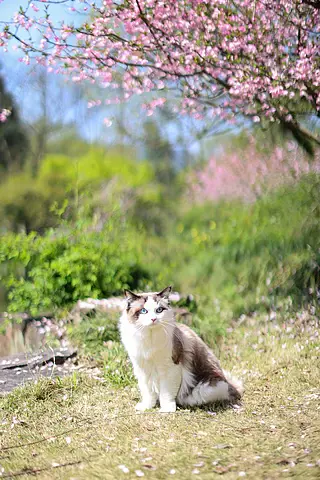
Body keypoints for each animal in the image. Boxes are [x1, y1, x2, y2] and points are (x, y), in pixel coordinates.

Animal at [119, 284, 244, 412]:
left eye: (159, 310)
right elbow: (148, 392)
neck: (149, 337)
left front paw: (166, 409)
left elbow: (166, 393)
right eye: (144, 311)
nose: (153, 319)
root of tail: (231, 385)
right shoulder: (142, 368)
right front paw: (146, 406)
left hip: (204, 390)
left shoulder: (170, 367)